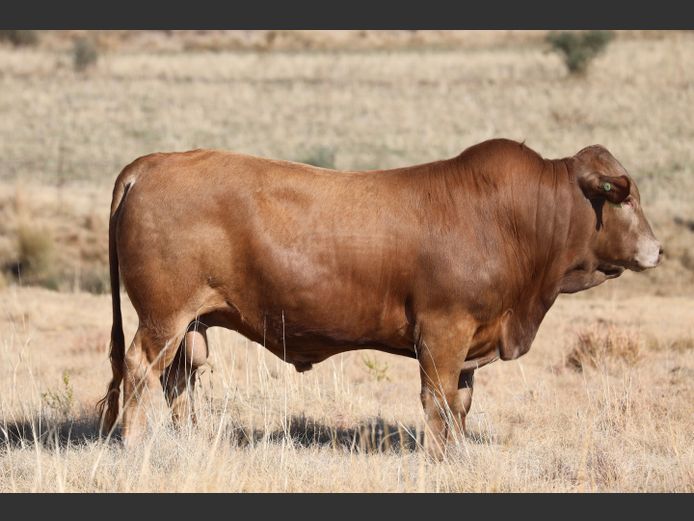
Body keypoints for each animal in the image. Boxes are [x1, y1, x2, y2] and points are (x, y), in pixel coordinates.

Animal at [97, 138, 662, 457]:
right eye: (625, 196)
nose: (657, 249)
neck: (513, 218)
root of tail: (151, 163)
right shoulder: (443, 331)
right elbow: (438, 401)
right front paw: (439, 459)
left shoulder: (471, 342)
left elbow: (461, 404)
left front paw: (458, 454)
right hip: (163, 317)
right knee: (140, 371)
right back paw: (133, 445)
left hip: (190, 324)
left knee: (177, 381)